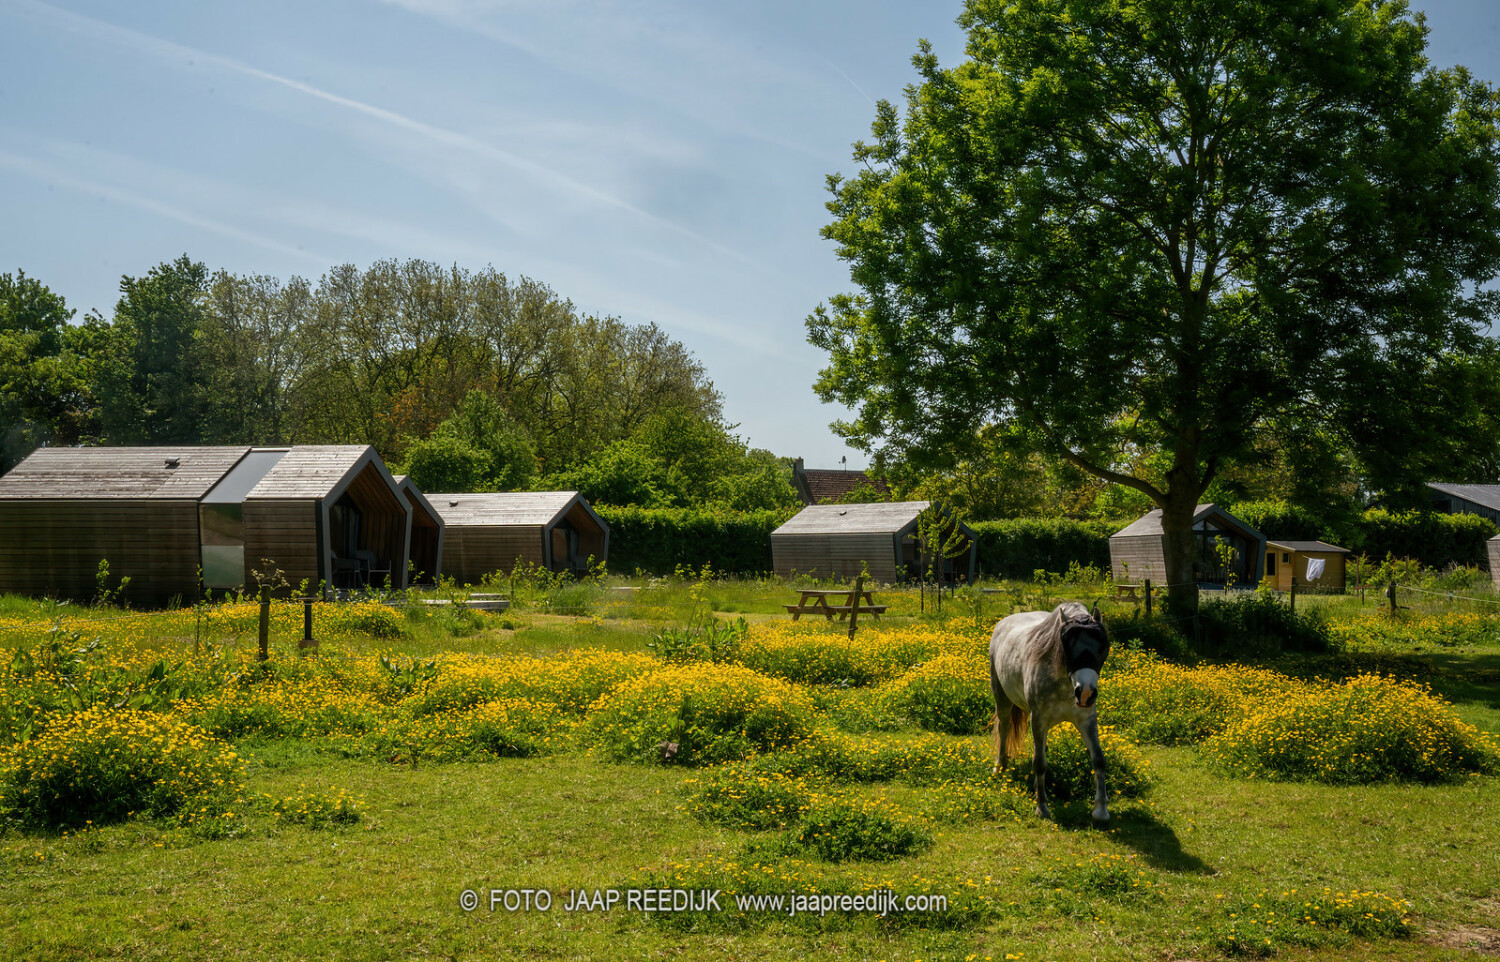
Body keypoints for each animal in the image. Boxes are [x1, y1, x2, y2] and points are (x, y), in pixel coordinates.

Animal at [989, 600, 1112, 826]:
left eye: (1102, 646)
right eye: (1067, 645)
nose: (1085, 693)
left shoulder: (1087, 720)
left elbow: (1098, 759)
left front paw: (1101, 811)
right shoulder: (1038, 719)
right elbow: (1039, 764)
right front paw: (1042, 807)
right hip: (1001, 698)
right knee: (1004, 729)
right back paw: (1000, 766)